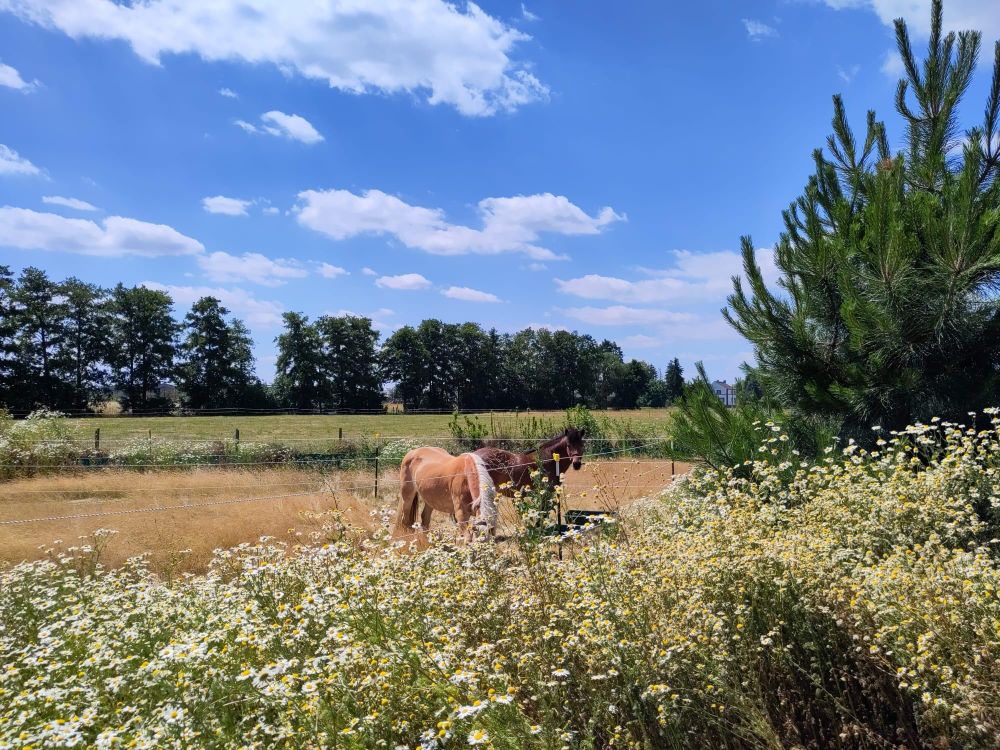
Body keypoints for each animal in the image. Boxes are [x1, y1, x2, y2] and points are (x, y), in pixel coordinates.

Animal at [394, 428, 586, 542]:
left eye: (582, 444)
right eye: (569, 445)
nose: (577, 464)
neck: (545, 461)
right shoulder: (545, 494)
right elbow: (542, 514)